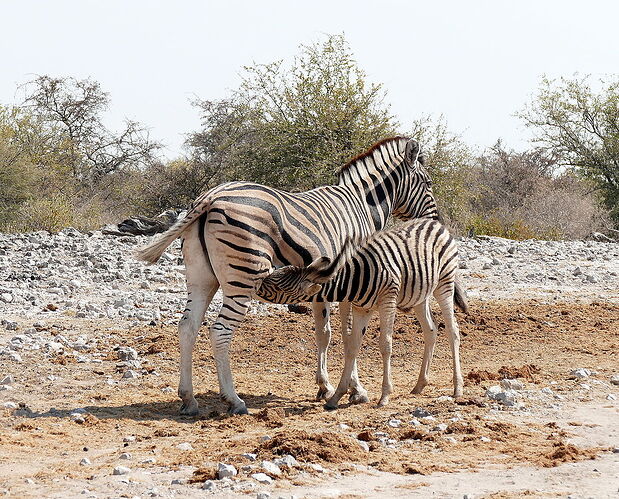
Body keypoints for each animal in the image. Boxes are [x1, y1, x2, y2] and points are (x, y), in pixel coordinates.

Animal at [254, 219, 468, 410]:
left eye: (278, 285)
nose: (257, 284)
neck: (355, 280)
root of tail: (435, 223)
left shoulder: (387, 301)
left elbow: (385, 345)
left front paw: (384, 396)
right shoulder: (361, 309)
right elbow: (352, 347)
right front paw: (337, 397)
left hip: (444, 283)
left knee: (453, 330)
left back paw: (457, 388)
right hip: (419, 295)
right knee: (431, 331)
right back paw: (419, 385)